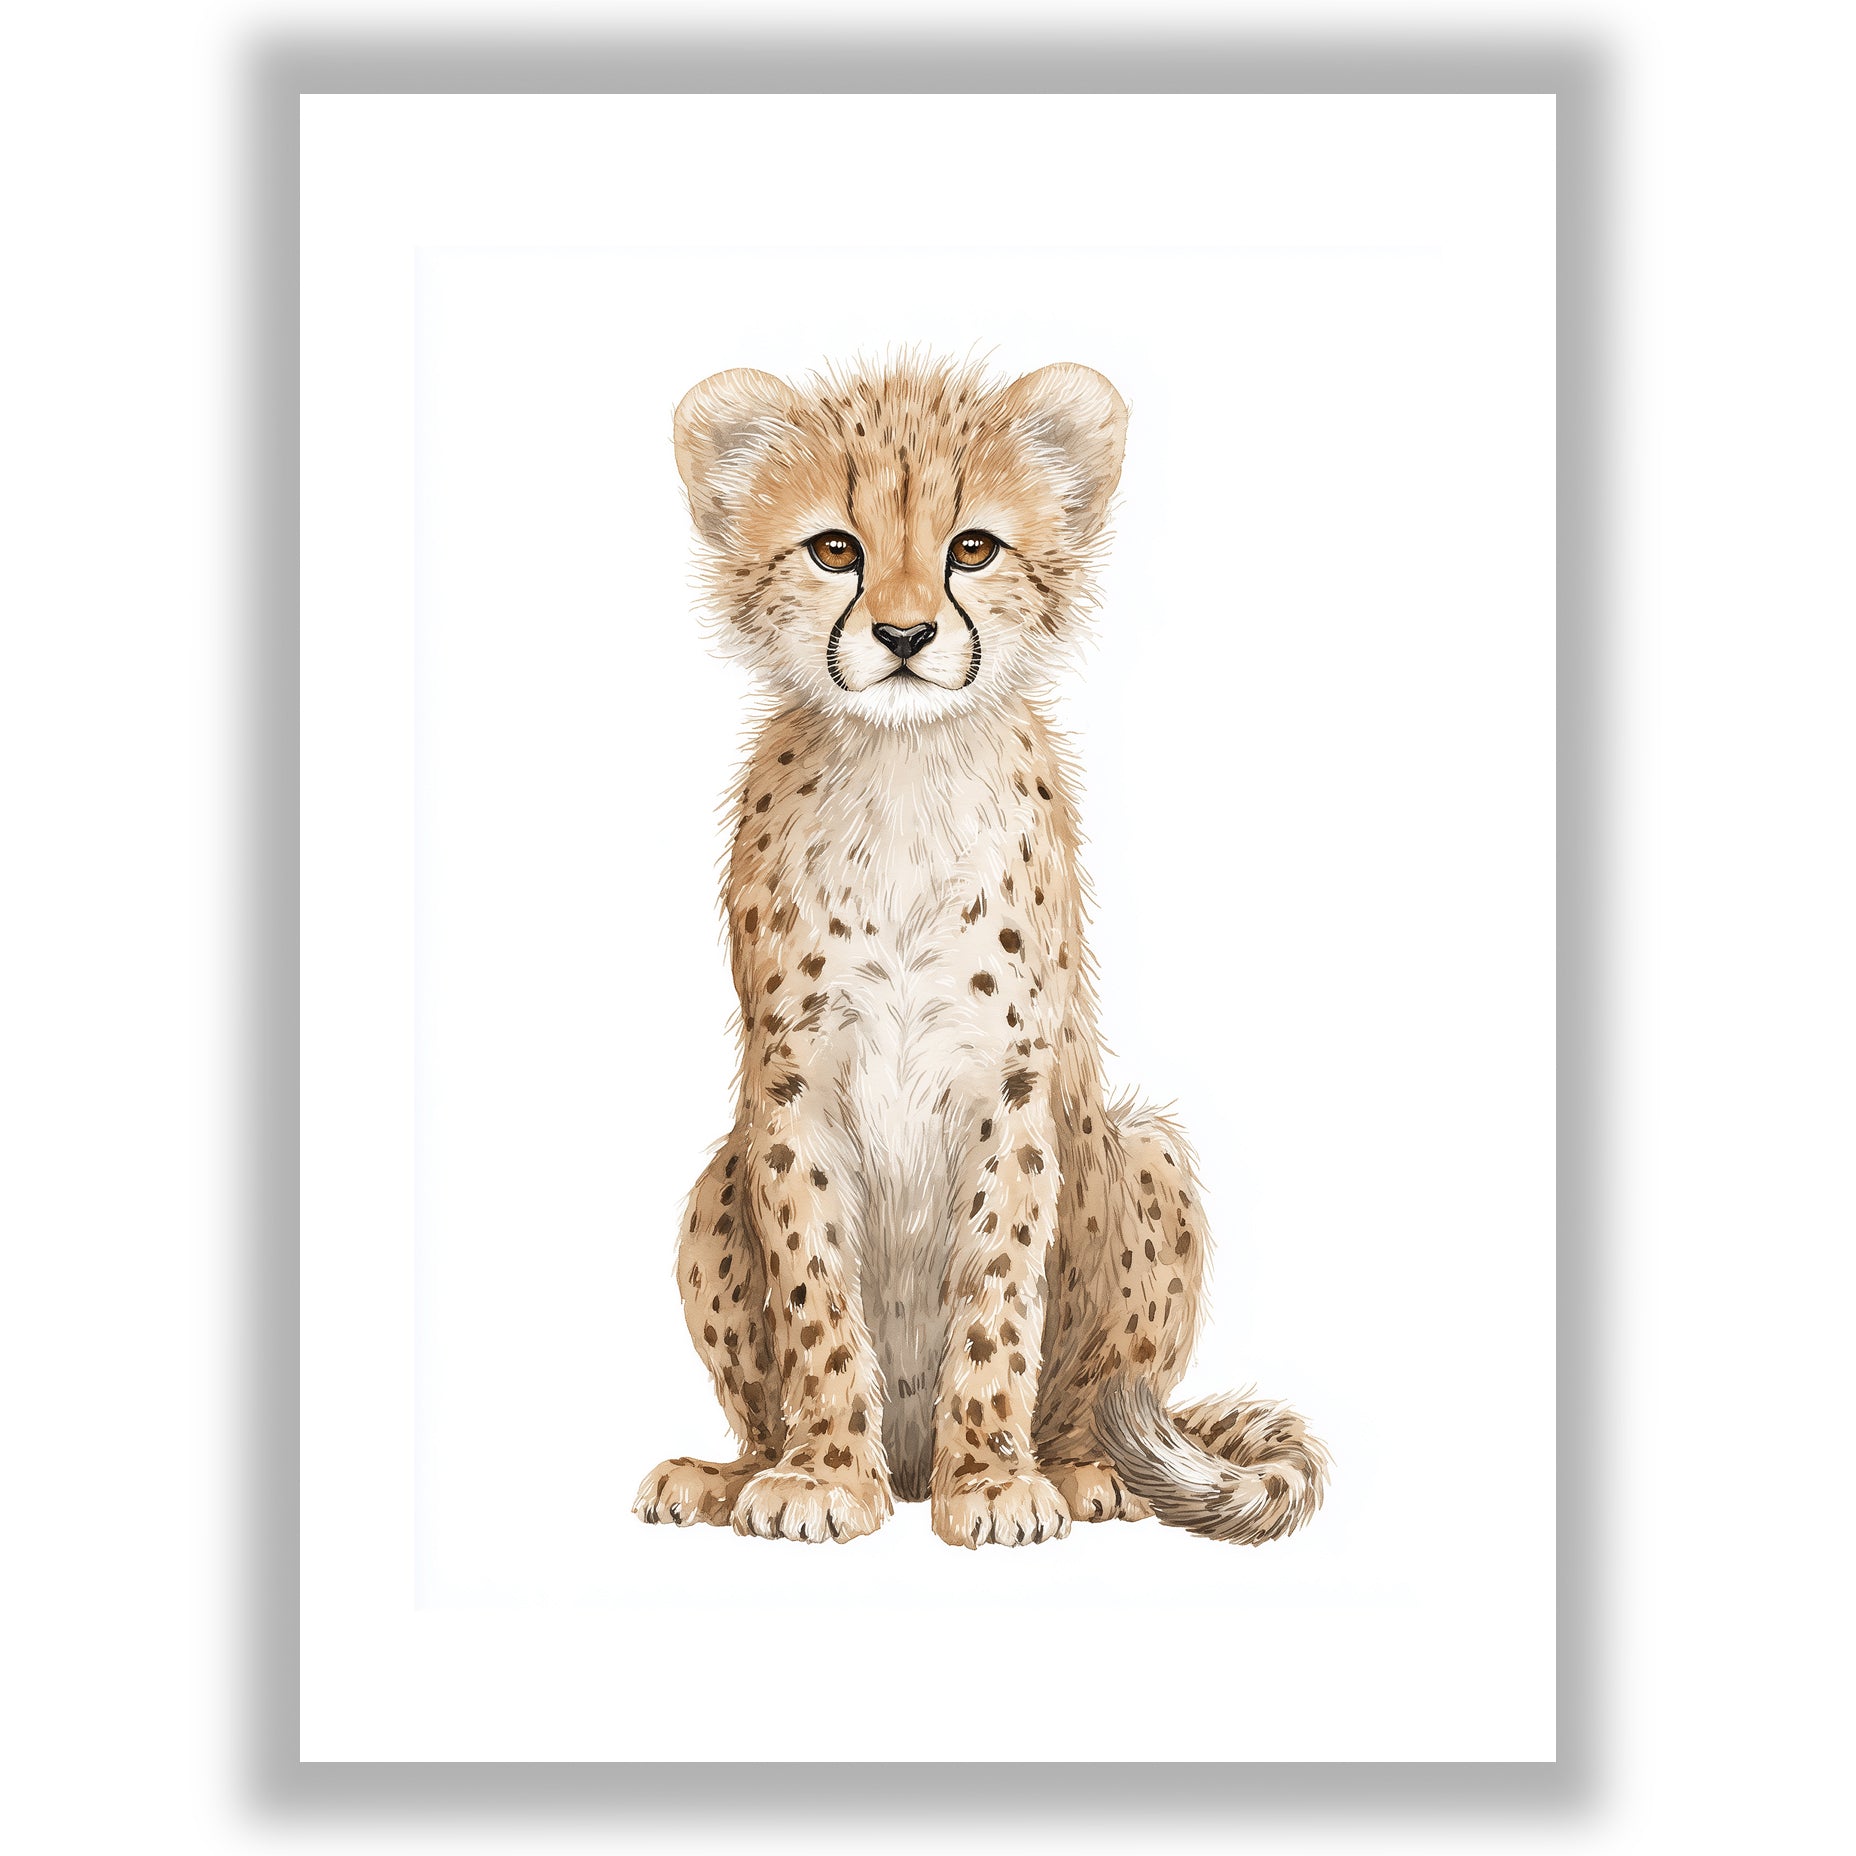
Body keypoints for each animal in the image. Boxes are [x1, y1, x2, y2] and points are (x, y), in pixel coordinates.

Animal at [633, 353, 1328, 1547]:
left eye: (971, 549)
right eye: (835, 549)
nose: (906, 637)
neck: (904, 769)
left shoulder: (1013, 1088)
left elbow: (998, 1292)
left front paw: (995, 1482)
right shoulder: (788, 1089)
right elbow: (814, 1296)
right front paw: (824, 1474)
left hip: (1149, 1155)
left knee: (1104, 1393)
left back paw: (1083, 1470)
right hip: (716, 1178)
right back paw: (728, 1474)